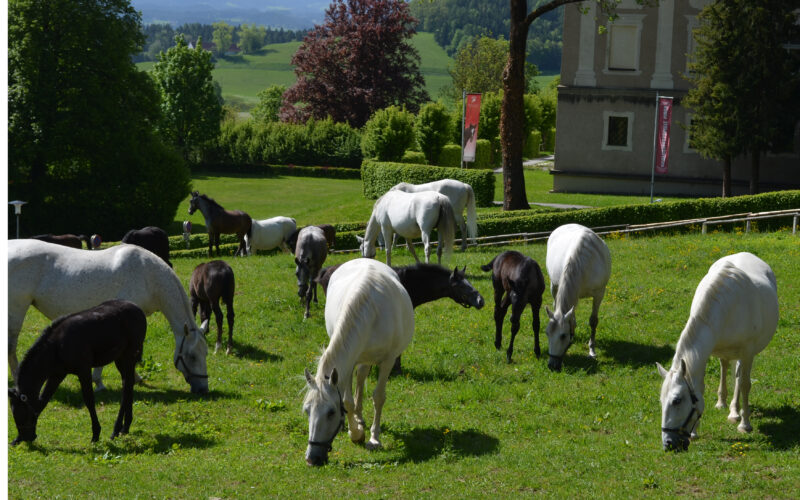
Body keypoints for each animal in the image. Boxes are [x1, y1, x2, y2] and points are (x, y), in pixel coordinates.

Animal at [8, 239, 209, 394]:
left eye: (205, 353)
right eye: (192, 356)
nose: (203, 390)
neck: (148, 276)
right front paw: (101, 382)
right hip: (16, 311)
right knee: (11, 348)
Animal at [9, 300, 147, 445]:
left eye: (22, 414)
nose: (27, 437)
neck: (57, 347)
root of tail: (138, 309)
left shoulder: (84, 369)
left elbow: (89, 399)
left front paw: (96, 434)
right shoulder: (57, 374)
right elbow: (44, 399)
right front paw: (16, 439)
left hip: (128, 355)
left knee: (126, 387)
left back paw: (116, 430)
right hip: (120, 358)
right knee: (128, 383)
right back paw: (125, 427)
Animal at [303, 258, 414, 466]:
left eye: (331, 412)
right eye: (307, 410)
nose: (312, 458)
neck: (370, 313)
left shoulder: (388, 361)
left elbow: (378, 397)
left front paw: (373, 438)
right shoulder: (348, 363)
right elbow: (347, 401)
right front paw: (355, 433)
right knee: (360, 381)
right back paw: (359, 419)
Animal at [545, 223, 612, 371]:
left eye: (562, 336)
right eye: (547, 333)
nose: (552, 365)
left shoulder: (599, 293)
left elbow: (593, 321)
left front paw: (591, 350)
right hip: (554, 286)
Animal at [657, 252, 778, 452]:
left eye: (677, 400)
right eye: (661, 400)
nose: (669, 443)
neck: (728, 306)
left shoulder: (747, 351)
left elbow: (745, 385)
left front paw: (745, 425)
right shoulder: (706, 352)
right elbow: (700, 387)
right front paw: (695, 432)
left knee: (739, 378)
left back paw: (735, 413)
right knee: (725, 367)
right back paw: (724, 404)